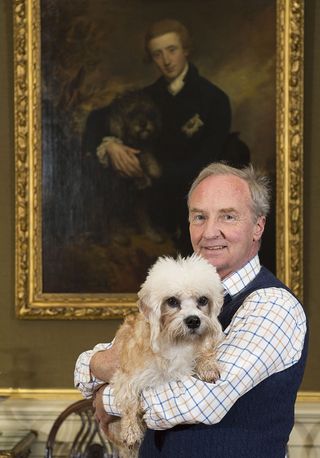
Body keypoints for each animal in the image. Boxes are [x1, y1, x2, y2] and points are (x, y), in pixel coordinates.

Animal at [106, 256, 224, 456]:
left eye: (203, 300)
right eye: (172, 301)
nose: (193, 321)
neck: (177, 343)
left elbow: (205, 351)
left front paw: (208, 366)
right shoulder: (126, 377)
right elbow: (130, 402)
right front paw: (131, 430)